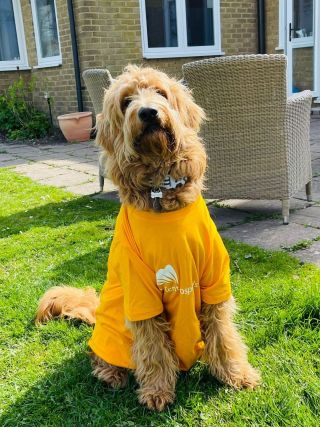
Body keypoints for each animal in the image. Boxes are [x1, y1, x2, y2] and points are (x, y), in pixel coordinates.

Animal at [35, 66, 260, 412]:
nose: (148, 112)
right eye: (126, 101)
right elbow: (153, 347)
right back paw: (111, 374)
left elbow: (224, 336)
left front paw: (237, 375)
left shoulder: (214, 280)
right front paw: (157, 391)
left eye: (161, 93)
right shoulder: (140, 292)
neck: (160, 186)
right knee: (97, 354)